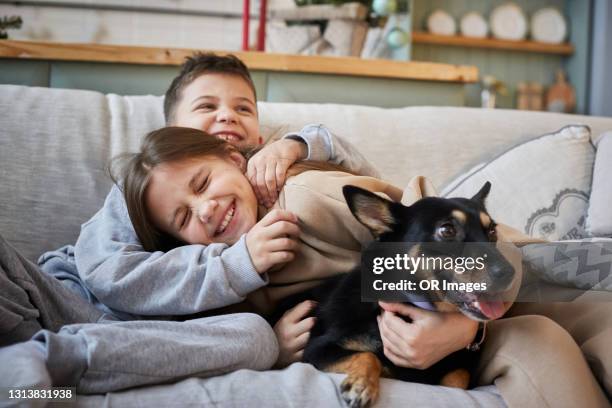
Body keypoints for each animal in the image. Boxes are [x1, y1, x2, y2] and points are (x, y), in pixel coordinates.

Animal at [294, 182, 512, 408]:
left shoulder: (459, 368)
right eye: (447, 230)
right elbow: (369, 356)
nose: (509, 273)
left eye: (493, 231)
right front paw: (361, 385)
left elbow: (458, 379)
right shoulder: (317, 349)